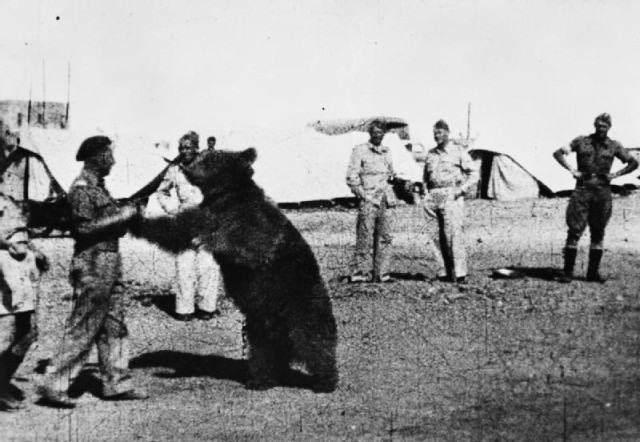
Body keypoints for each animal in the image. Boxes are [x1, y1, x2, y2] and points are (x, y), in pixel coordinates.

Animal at [131, 148, 340, 394]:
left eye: (209, 156)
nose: (186, 159)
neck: (224, 196)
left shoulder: (250, 220)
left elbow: (250, 244)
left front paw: (208, 240)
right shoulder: (203, 214)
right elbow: (174, 230)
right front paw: (136, 218)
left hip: (300, 306)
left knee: (313, 342)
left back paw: (325, 381)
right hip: (260, 325)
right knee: (262, 353)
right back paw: (260, 380)